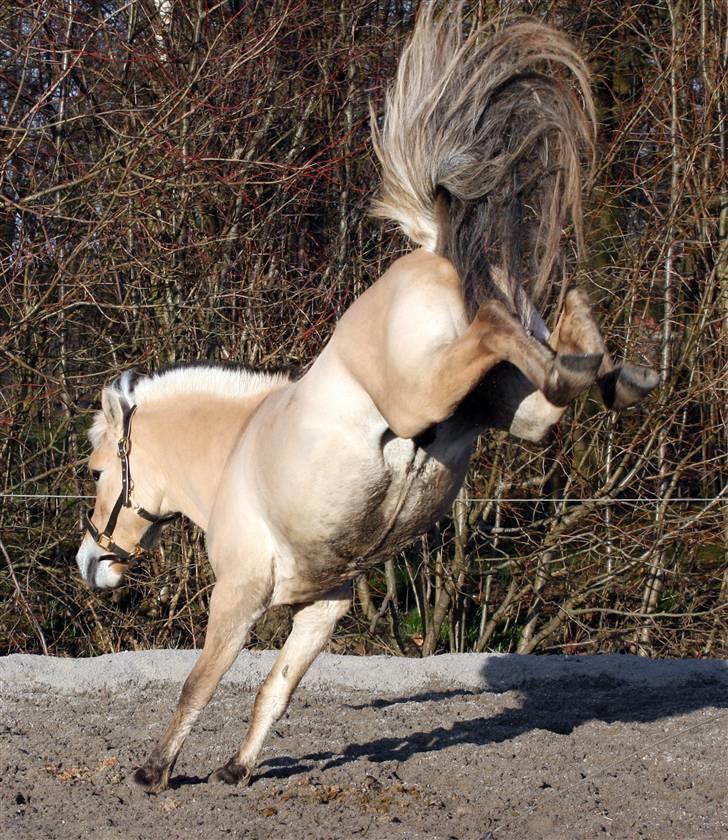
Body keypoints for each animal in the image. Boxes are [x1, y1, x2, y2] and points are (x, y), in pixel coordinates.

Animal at [75, 8, 660, 796]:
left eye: (98, 473)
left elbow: (201, 682)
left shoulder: (240, 593)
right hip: (513, 413)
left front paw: (155, 771)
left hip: (425, 395)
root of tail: (438, 249)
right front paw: (237, 769)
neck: (232, 454)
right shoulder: (324, 604)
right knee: (560, 351)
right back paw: (610, 366)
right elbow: (276, 689)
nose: (91, 563)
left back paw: (596, 361)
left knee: (498, 325)